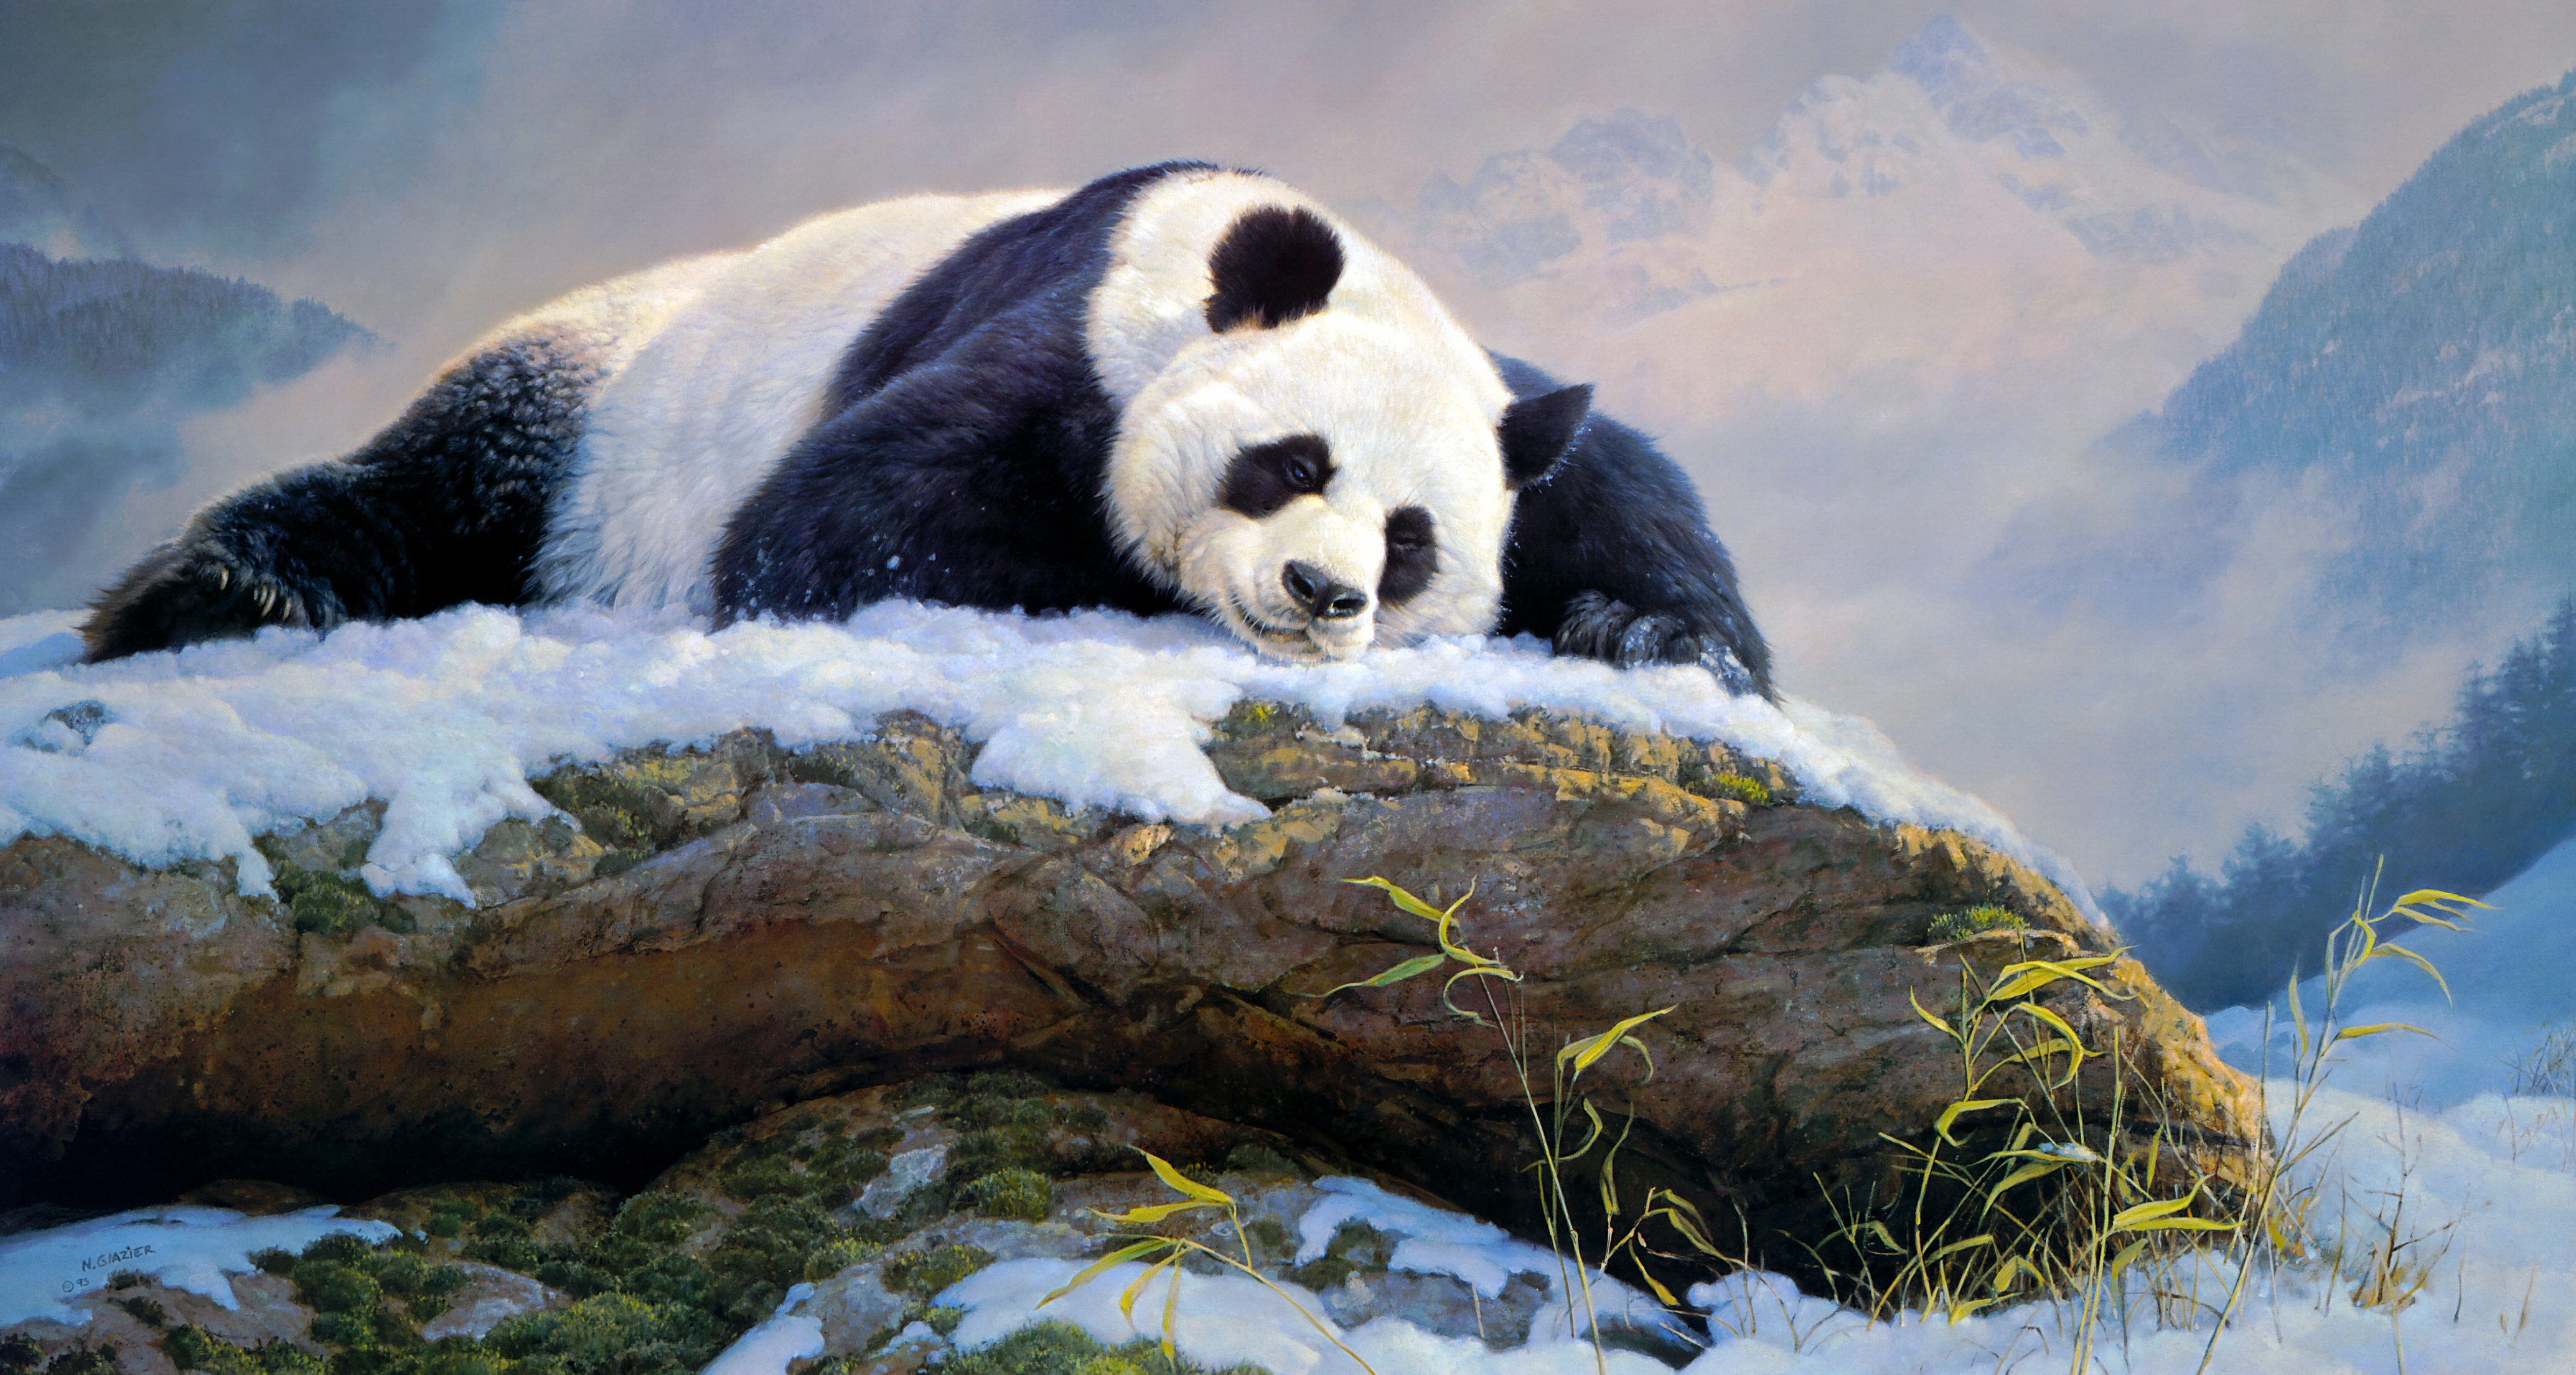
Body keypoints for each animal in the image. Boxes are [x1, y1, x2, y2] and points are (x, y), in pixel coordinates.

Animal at [80, 162, 1773, 699]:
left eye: (1412, 541)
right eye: (1289, 464)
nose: (1322, 592)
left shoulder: (1507, 405)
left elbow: (1624, 492)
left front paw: (1644, 634)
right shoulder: (1063, 344)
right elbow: (844, 527)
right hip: (587, 412)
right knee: (434, 480)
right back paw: (223, 590)